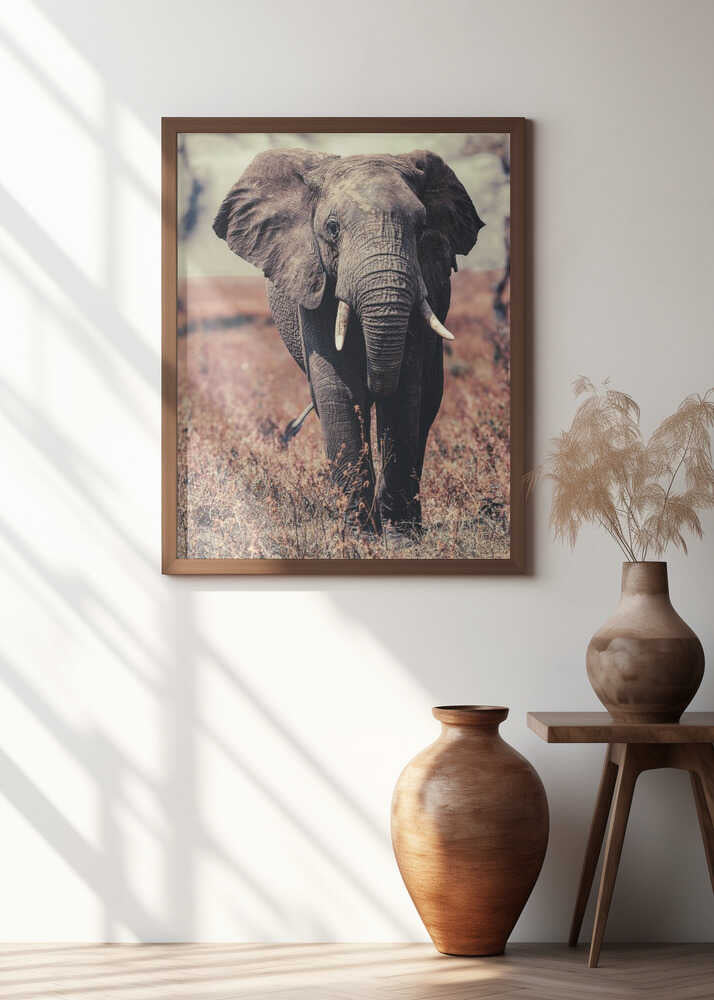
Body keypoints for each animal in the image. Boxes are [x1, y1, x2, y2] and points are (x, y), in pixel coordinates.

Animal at [213, 148, 483, 542]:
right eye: (332, 228)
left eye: (421, 228)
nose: (287, 431)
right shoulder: (313, 281)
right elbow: (337, 389)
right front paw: (362, 540)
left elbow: (404, 392)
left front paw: (400, 540)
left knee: (429, 402)